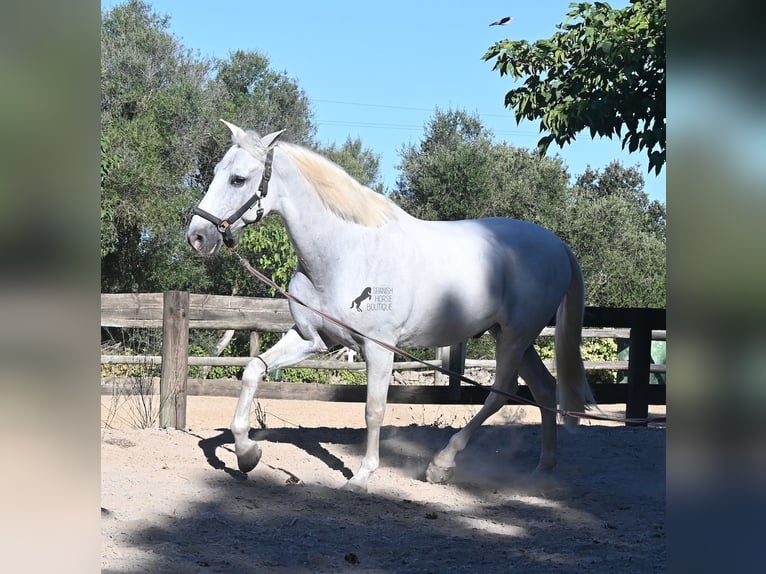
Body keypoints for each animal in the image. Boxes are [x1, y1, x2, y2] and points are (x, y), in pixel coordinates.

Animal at [187, 120, 594, 491]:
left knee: (499, 394)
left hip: (514, 337)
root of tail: (557, 246)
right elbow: (252, 370)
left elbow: (374, 408)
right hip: (513, 338)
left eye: (238, 179)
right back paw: (541, 472)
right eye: (217, 172)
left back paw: (441, 465)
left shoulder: (379, 348)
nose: (197, 236)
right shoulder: (311, 339)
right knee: (544, 390)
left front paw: (362, 476)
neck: (345, 254)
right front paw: (247, 454)